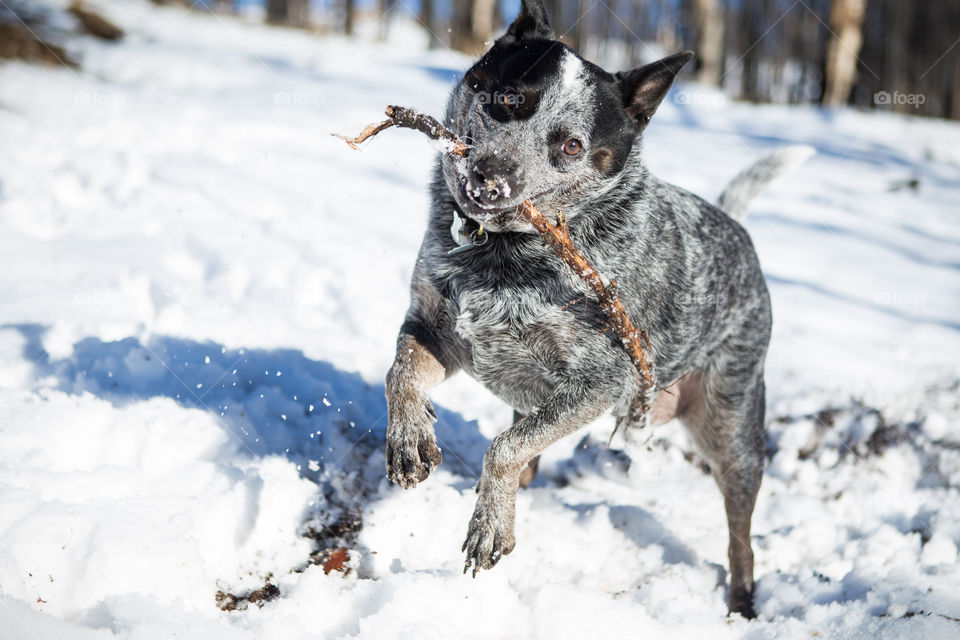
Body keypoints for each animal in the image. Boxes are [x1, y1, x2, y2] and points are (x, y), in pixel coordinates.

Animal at [380, 0, 808, 620]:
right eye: (508, 98)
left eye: (572, 146)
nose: (490, 176)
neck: (504, 251)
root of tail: (736, 227)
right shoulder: (439, 328)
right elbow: (401, 372)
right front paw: (410, 439)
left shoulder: (599, 382)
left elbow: (505, 449)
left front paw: (489, 526)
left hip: (732, 426)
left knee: (740, 532)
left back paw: (742, 604)